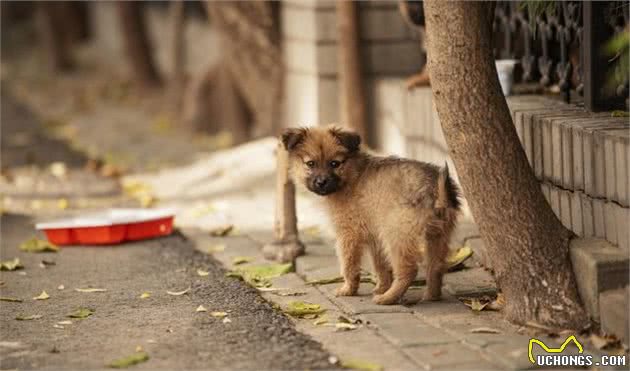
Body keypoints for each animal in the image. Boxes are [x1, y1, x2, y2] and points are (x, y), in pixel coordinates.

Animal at [284, 125, 462, 306]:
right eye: (310, 164)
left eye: (335, 163)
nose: (321, 182)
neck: (352, 175)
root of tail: (435, 189)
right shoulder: (375, 238)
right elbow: (380, 266)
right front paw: (381, 287)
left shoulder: (348, 234)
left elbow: (349, 265)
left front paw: (348, 289)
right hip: (438, 235)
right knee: (436, 267)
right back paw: (431, 296)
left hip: (396, 235)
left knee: (409, 270)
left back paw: (388, 298)